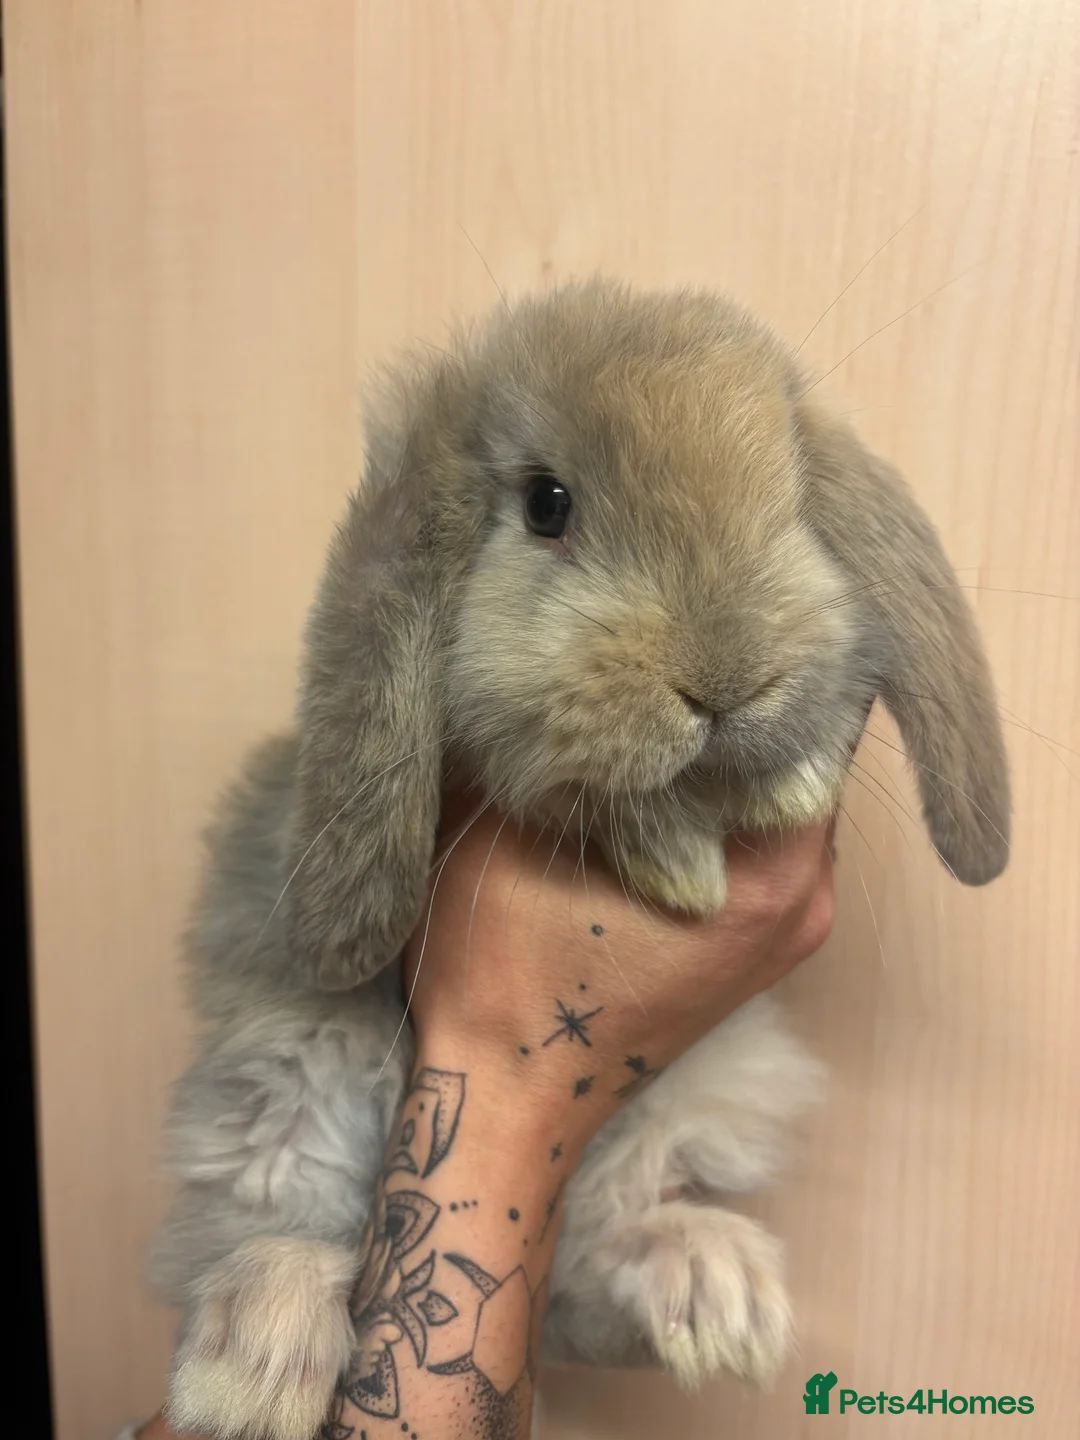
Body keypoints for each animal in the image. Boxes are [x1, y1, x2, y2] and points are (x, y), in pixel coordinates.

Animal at [150, 279, 1010, 1440]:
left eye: (791, 499)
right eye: (547, 504)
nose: (727, 678)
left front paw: (780, 785)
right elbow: (581, 788)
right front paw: (689, 854)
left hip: (690, 1105)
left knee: (574, 1286)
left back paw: (712, 1289)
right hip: (290, 1080)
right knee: (267, 1230)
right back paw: (256, 1357)